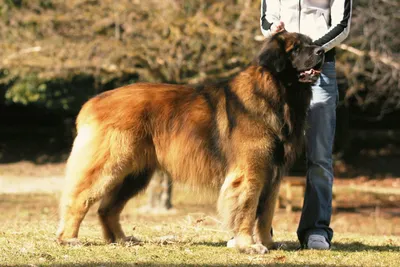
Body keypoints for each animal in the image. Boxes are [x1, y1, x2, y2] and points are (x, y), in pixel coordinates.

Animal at [57, 30, 324, 254]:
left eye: (311, 42)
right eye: (295, 49)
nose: (321, 51)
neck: (278, 95)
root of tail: (93, 102)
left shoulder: (273, 175)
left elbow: (266, 213)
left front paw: (268, 243)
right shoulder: (250, 173)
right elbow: (247, 211)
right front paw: (248, 245)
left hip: (134, 174)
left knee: (107, 208)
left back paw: (121, 239)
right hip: (109, 166)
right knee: (78, 199)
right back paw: (69, 239)